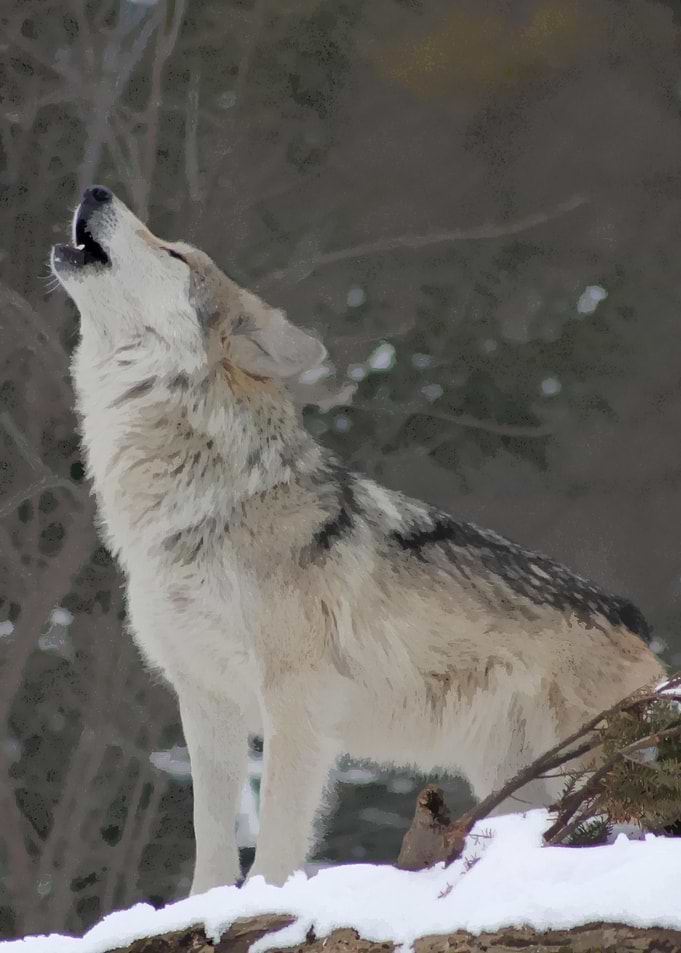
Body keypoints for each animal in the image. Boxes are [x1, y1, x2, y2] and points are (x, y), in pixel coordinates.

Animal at [51, 186, 664, 892]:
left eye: (174, 252)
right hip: (515, 782)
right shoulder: (206, 700)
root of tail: (638, 625)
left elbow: (278, 840)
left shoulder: (295, 702)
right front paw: (204, 905)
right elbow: (211, 837)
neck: (205, 504)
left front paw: (266, 900)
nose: (95, 190)